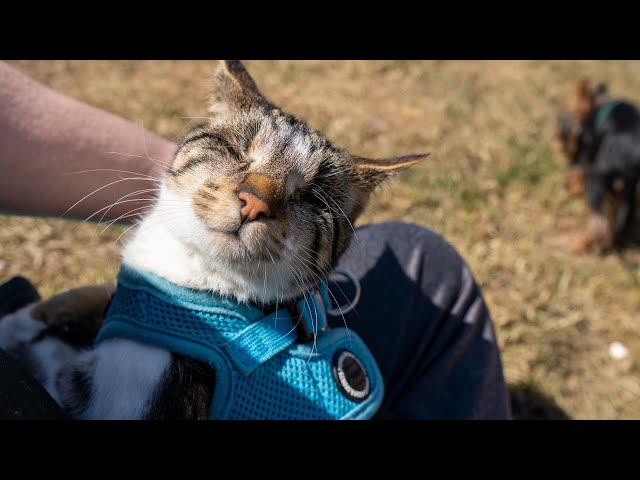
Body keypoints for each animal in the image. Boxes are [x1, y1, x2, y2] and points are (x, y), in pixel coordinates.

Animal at [556, 78, 640, 255]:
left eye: (563, 126)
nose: (558, 143)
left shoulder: (589, 159)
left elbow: (579, 171)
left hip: (597, 183)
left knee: (598, 223)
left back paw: (577, 244)